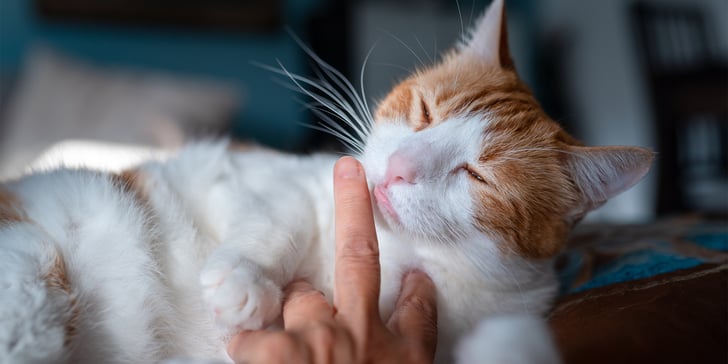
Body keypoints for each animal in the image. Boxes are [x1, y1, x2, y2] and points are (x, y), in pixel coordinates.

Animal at [0, 1, 652, 362]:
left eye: (478, 176)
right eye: (424, 112)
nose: (400, 166)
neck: (397, 253)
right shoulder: (257, 179)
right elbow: (277, 224)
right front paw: (245, 283)